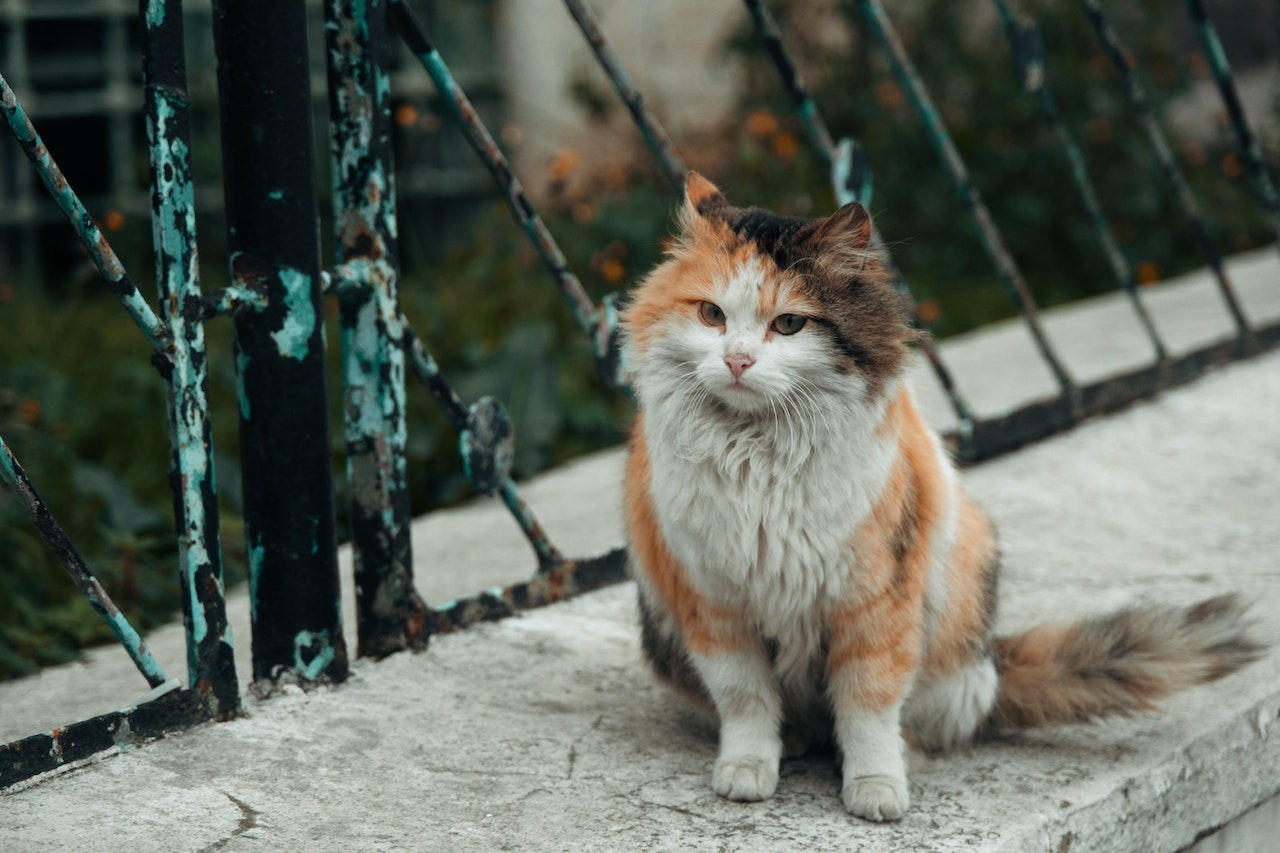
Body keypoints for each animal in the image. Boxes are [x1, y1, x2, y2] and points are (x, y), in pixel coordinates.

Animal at [616, 172, 1259, 819]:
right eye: (711, 315)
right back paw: (793, 741)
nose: (737, 361)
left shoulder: (876, 601)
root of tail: (992, 660)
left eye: (789, 325)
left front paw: (876, 790)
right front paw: (748, 770)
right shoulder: (716, 606)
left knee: (908, 724)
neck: (758, 459)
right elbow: (746, 701)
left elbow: (868, 706)